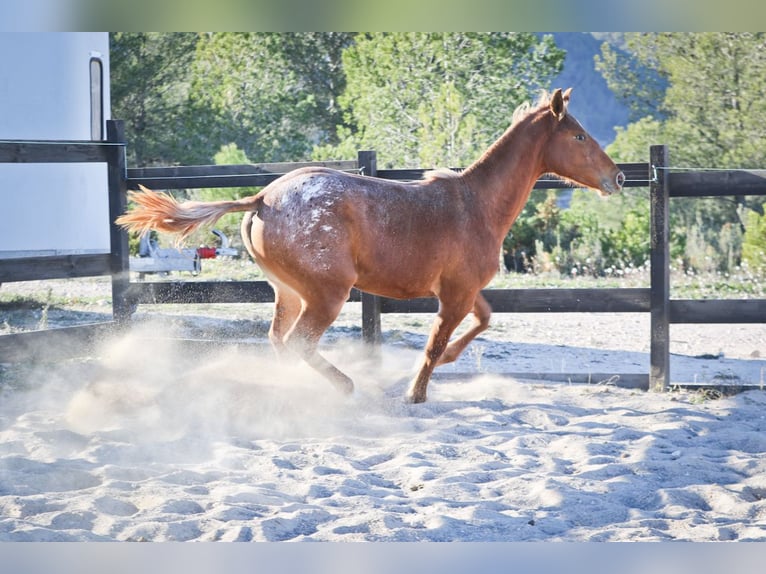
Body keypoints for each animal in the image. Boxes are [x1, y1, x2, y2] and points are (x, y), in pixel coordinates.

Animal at [117, 89, 628, 404]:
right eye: (579, 135)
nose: (618, 177)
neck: (475, 204)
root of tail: (262, 198)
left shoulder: (463, 292)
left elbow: (483, 321)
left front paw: (446, 362)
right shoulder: (455, 294)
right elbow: (435, 343)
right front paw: (415, 392)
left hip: (288, 293)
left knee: (279, 342)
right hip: (327, 294)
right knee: (299, 342)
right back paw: (345, 386)